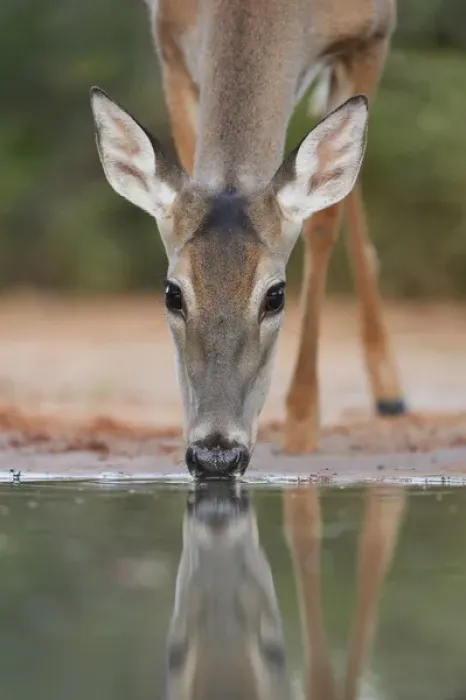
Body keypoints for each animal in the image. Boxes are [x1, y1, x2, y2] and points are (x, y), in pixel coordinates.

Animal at [90, 0, 406, 479]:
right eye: (172, 293)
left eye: (276, 295)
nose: (216, 454)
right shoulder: (170, 41)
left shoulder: (371, 36)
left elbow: (323, 221)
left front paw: (301, 423)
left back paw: (390, 391)